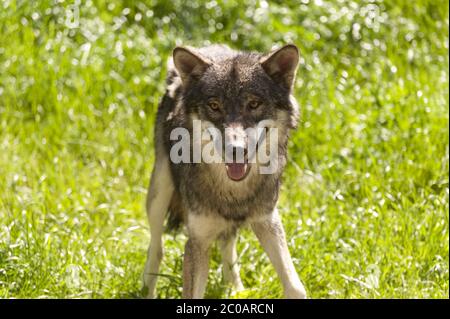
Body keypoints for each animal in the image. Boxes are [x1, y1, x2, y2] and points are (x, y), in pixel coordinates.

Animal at [142, 43, 308, 300]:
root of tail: (209, 46)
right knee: (156, 247)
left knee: (227, 246)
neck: (233, 191)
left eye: (254, 104)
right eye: (214, 106)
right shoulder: (196, 241)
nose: (235, 150)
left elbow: (295, 286)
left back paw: (236, 289)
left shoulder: (267, 220)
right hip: (159, 193)